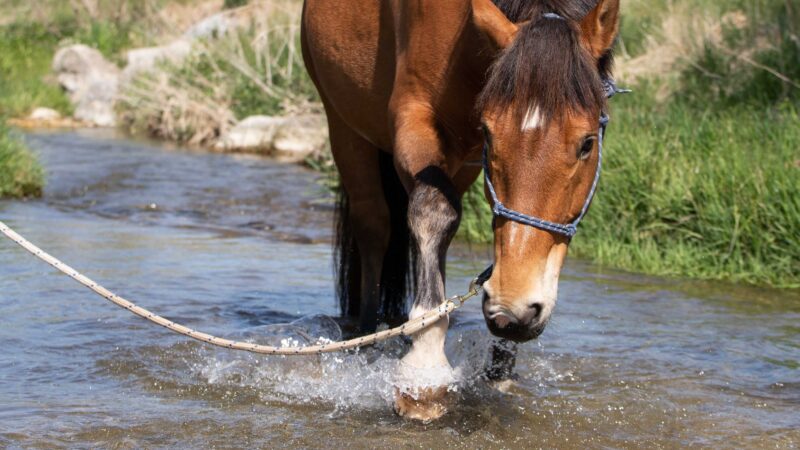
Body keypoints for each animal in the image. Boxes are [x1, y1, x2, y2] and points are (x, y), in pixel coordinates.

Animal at [300, 0, 620, 420]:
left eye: (586, 144)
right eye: (490, 135)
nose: (512, 311)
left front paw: (500, 371)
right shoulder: (413, 118)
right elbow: (433, 211)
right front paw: (424, 372)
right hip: (346, 129)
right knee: (374, 227)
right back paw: (368, 339)